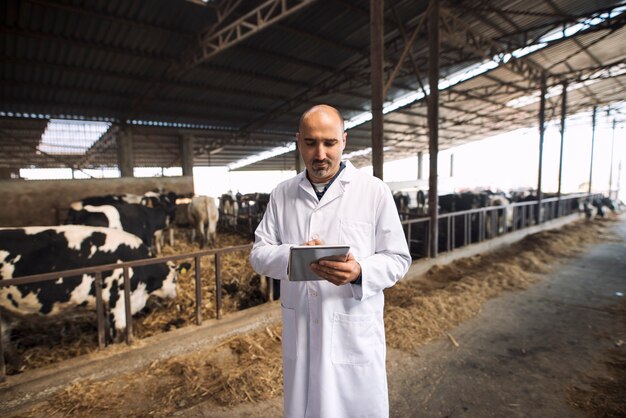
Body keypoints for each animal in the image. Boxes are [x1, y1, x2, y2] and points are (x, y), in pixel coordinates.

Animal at [1, 227, 189, 368]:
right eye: (175, 279)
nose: (174, 294)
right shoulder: (118, 300)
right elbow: (120, 332)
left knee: (5, 340)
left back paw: (20, 366)